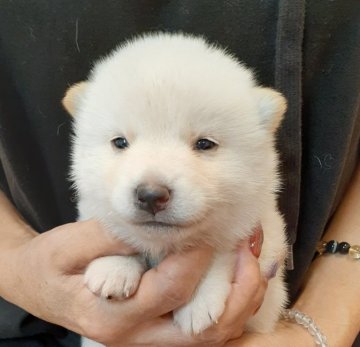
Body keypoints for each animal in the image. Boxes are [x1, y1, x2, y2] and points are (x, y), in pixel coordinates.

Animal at [64, 32, 286, 346]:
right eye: (120, 142)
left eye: (204, 144)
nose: (151, 195)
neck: (164, 249)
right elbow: (116, 229)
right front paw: (114, 267)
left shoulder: (255, 233)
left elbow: (221, 248)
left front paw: (198, 300)